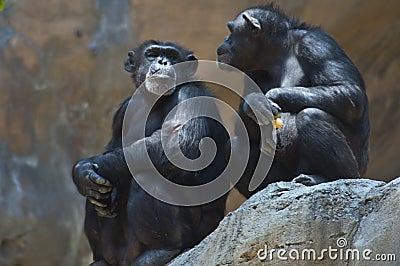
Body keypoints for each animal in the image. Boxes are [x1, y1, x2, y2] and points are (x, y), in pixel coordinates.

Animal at [72, 40, 228, 264]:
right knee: (95, 196)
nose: (162, 61)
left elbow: (180, 146)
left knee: (148, 174)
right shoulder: (122, 111)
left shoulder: (191, 93)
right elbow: (111, 149)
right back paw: (102, 260)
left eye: (172, 56)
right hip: (118, 250)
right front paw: (82, 172)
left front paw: (94, 167)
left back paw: (160, 251)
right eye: (152, 54)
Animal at [217, 2, 370, 197]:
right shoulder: (251, 74)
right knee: (234, 145)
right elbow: (245, 129)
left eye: (231, 30)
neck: (279, 53)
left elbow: (348, 92)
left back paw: (328, 178)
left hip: (355, 168)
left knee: (311, 116)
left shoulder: (317, 45)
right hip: (284, 176)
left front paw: (270, 97)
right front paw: (252, 105)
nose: (226, 37)